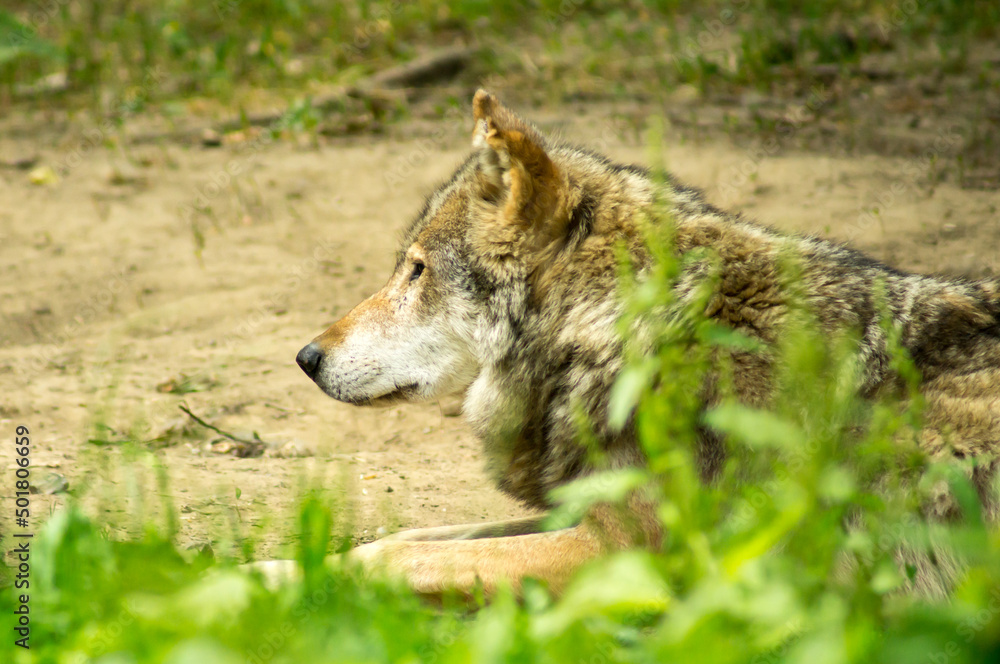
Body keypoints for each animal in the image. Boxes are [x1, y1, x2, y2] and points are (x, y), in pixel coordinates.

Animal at [288, 90, 1000, 596]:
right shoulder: (579, 510)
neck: (623, 333)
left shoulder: (620, 549)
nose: (305, 358)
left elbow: (403, 557)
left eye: (417, 270)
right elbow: (402, 540)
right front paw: (273, 576)